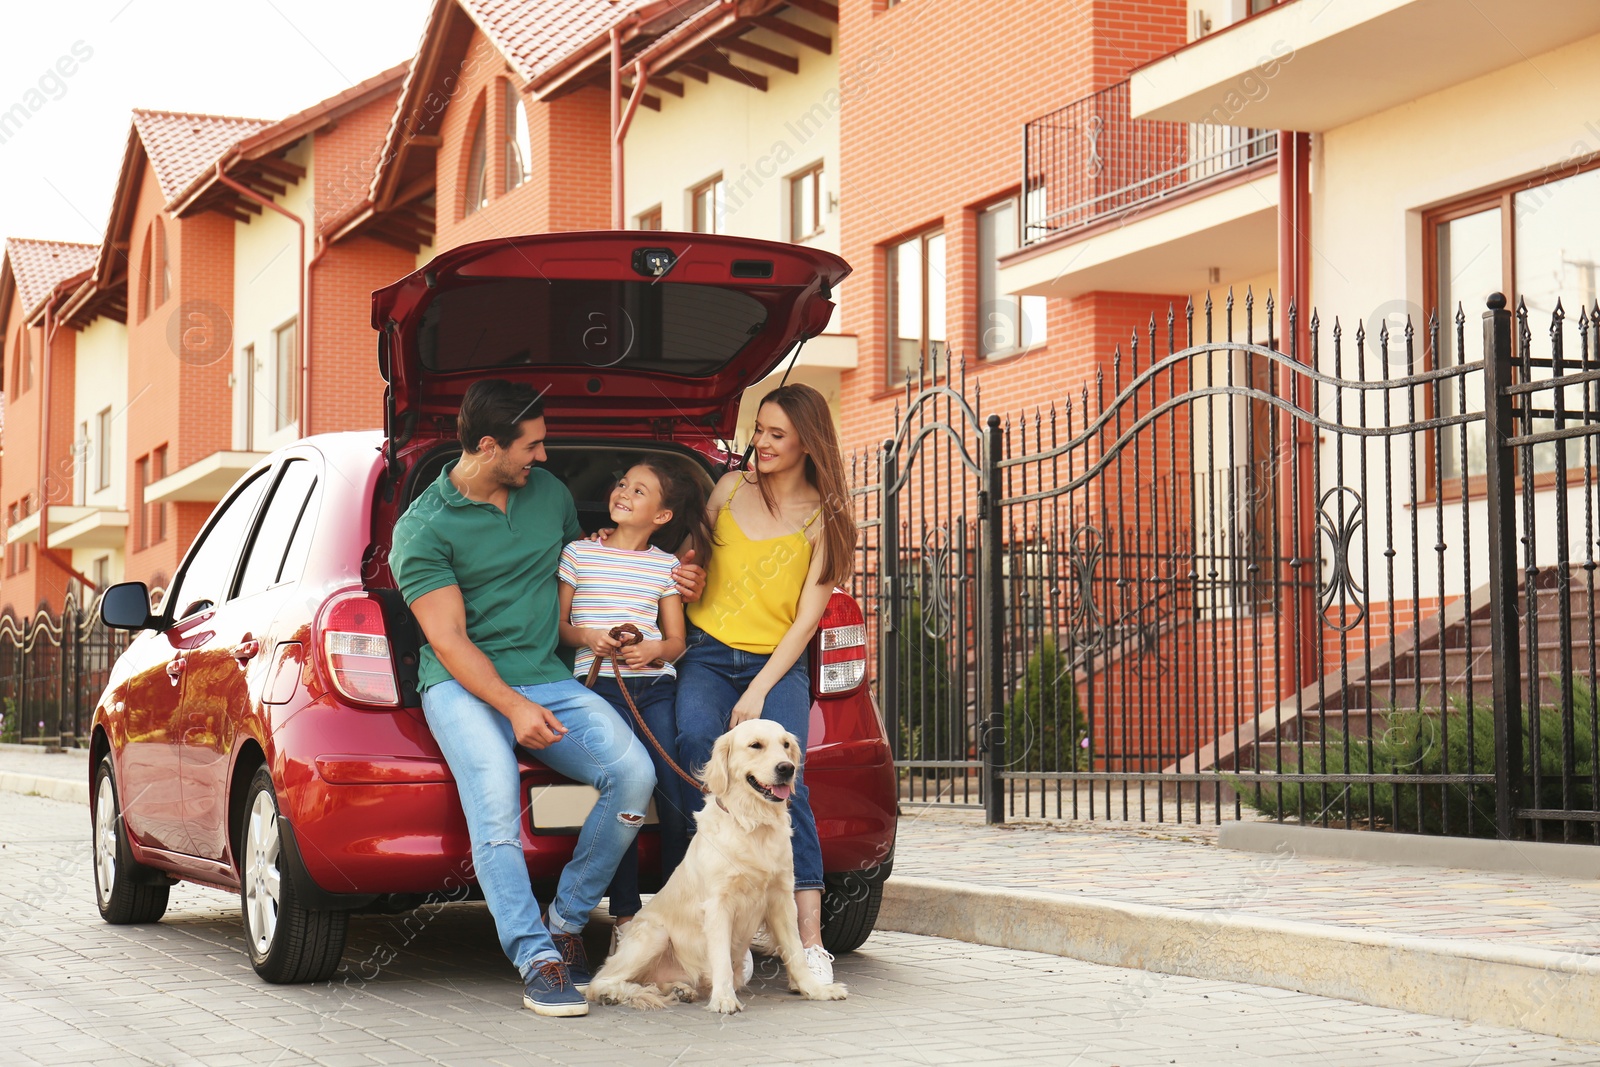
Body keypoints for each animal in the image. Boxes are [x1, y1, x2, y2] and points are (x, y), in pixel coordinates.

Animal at [582, 723, 844, 1017]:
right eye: (755, 745)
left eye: (786, 745)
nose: (786, 768)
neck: (752, 823)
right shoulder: (718, 904)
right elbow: (720, 957)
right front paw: (724, 999)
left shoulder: (782, 899)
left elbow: (796, 950)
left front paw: (816, 989)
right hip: (654, 934)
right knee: (601, 980)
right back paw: (615, 993)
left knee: (651, 981)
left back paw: (679, 989)